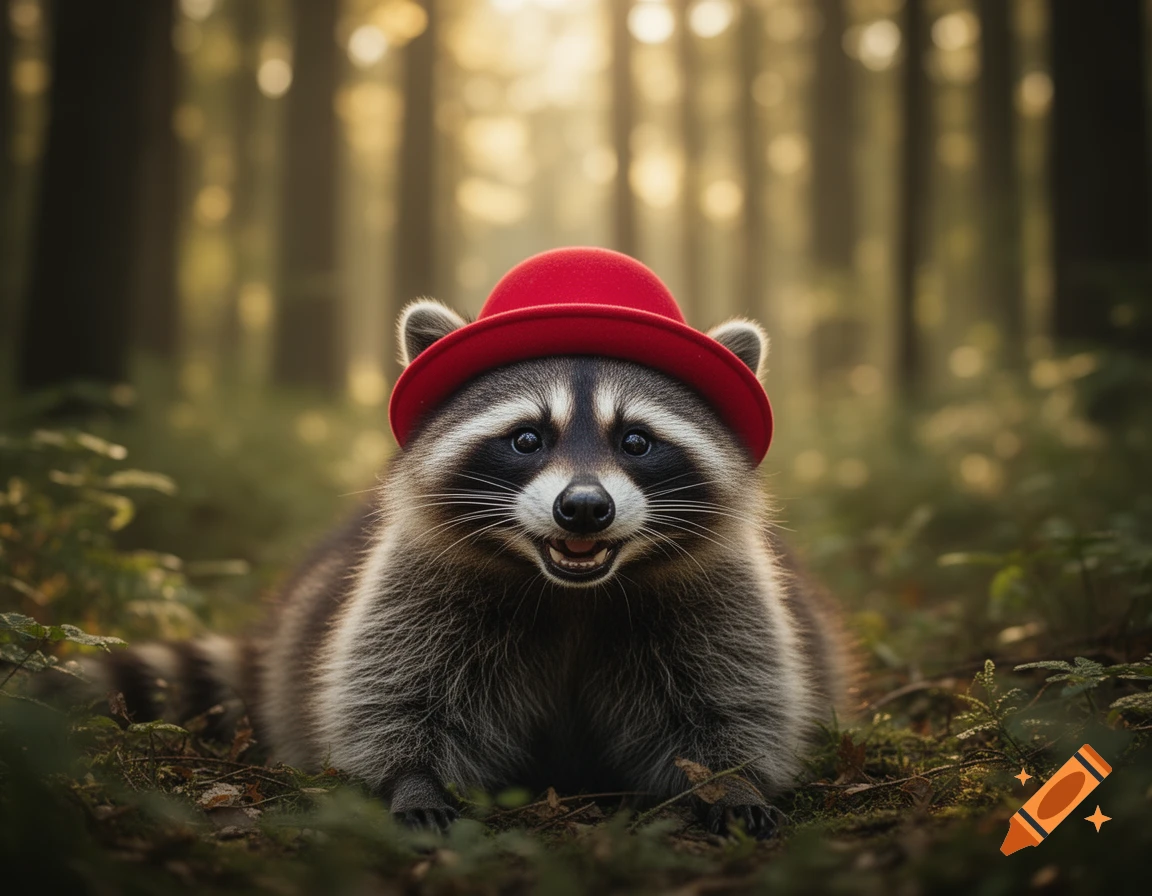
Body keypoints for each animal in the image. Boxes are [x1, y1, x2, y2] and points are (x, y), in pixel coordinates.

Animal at [89, 298, 853, 839]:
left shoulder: (718, 589)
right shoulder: (418, 580)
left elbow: (730, 694)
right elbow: (395, 692)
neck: (572, 591)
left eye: (636, 441)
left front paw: (731, 779)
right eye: (527, 439)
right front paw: (413, 778)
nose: (584, 509)